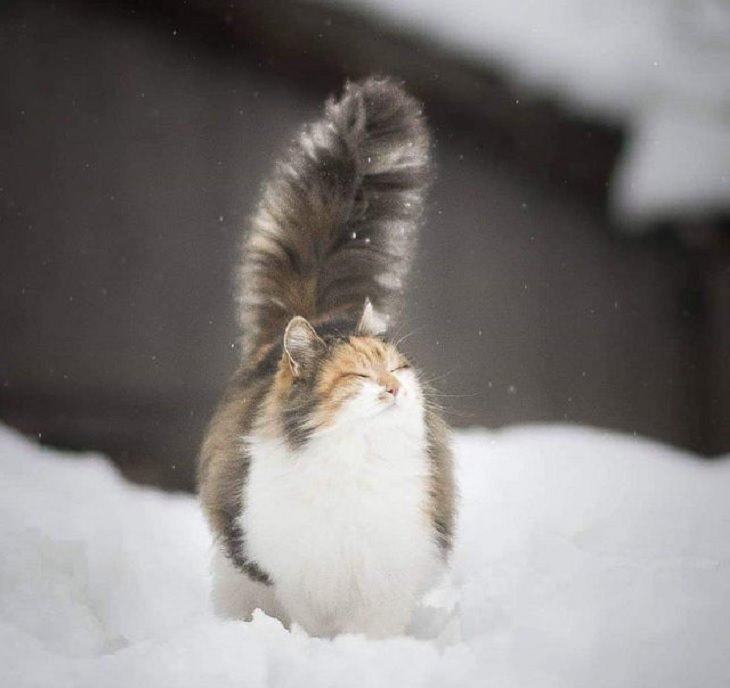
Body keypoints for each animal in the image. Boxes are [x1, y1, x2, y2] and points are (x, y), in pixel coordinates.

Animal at [196, 76, 452, 640]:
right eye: (359, 373)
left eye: (396, 368)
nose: (393, 387)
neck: (357, 462)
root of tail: (319, 314)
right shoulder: (302, 574)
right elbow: (312, 625)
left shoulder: (387, 571)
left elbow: (374, 628)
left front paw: (367, 654)